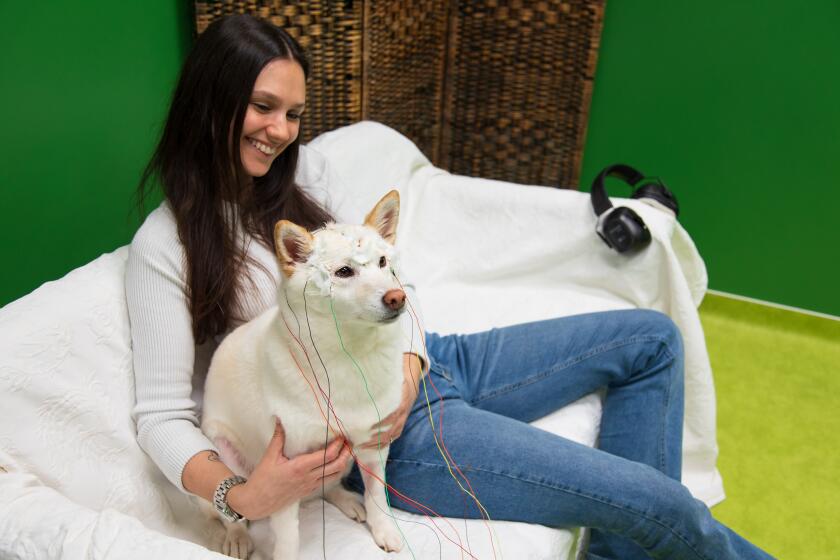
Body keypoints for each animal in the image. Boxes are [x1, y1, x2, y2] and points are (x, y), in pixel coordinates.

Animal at [205, 190, 412, 556]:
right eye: (344, 272)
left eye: (383, 263)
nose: (397, 297)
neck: (350, 355)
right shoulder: (285, 472)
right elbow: (288, 535)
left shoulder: (373, 445)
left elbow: (377, 496)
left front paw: (383, 529)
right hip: (224, 450)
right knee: (233, 512)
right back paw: (237, 536)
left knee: (324, 489)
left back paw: (347, 500)